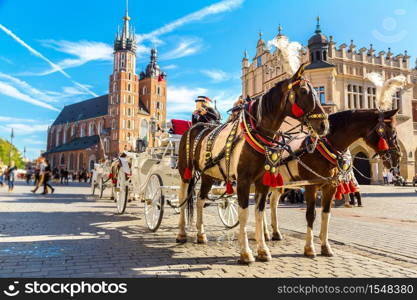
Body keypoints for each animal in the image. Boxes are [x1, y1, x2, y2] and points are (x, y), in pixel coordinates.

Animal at [175, 64, 328, 264]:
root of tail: (196, 126)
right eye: (303, 91)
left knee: (200, 200)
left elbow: (259, 213)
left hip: (208, 174)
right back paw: (181, 233)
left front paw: (263, 250)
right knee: (183, 197)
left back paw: (201, 235)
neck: (257, 133)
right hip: (185, 171)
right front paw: (246, 252)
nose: (324, 125)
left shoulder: (262, 181)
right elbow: (244, 213)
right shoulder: (244, 180)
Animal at [266, 109, 400, 256]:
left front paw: (325, 246)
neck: (323, 148)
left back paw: (274, 233)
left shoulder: (330, 186)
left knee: (272, 202)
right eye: (393, 132)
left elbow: (326, 213)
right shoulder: (311, 186)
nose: (398, 157)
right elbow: (310, 215)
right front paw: (309, 248)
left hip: (280, 183)